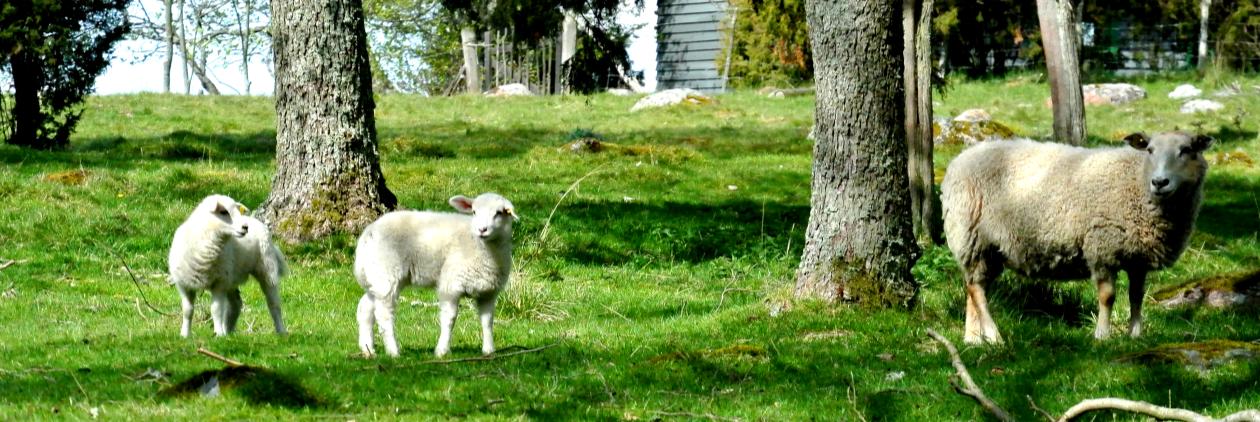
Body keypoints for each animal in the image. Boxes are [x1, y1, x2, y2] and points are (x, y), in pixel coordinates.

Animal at [165, 193, 286, 337]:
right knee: (236, 304)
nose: (245, 227)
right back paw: (228, 330)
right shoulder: (184, 284)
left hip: (266, 269)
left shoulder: (219, 283)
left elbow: (216, 310)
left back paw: (281, 330)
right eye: (223, 212)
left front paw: (218, 334)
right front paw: (185, 334)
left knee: (274, 303)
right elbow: (187, 311)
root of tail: (253, 220)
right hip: (231, 277)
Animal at [355, 193, 516, 357]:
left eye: (499, 213)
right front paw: (442, 350)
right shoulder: (450, 285)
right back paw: (393, 351)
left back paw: (368, 349)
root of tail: (368, 233)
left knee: (365, 308)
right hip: (387, 273)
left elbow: (487, 321)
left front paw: (489, 350)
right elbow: (449, 318)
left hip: (376, 277)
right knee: (384, 314)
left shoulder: (488, 292)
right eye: (474, 212)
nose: (482, 229)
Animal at [947, 131, 1209, 342]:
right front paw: (1102, 336)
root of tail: (961, 158)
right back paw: (994, 336)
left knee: (974, 288)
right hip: (972, 238)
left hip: (989, 250)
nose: (1160, 182)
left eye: (1187, 150)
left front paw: (1135, 334)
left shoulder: (1138, 259)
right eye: (1150, 150)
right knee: (976, 290)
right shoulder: (1102, 247)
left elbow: (1136, 296)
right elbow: (1108, 297)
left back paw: (974, 339)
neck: (1137, 182)